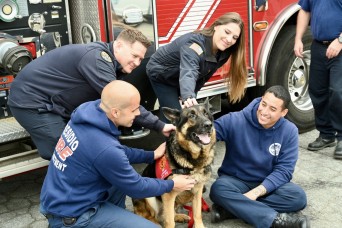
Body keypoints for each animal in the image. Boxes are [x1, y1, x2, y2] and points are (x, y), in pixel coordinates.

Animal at [132, 99, 215, 228]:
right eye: (191, 115)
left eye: (206, 113)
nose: (209, 125)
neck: (192, 161)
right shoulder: (169, 195)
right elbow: (169, 221)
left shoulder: (197, 191)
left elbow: (197, 214)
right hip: (149, 197)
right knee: (152, 216)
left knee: (167, 214)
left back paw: (180, 216)